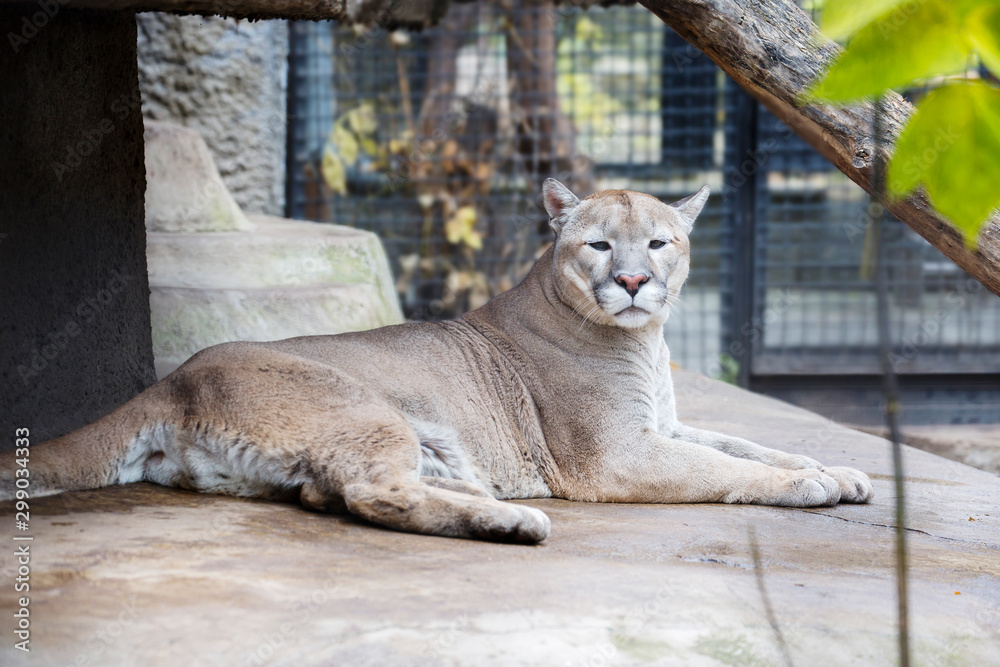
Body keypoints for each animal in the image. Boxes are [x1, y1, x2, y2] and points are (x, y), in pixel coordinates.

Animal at [1, 181, 868, 544]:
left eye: (659, 242)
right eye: (598, 244)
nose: (632, 282)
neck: (642, 342)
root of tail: (174, 378)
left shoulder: (665, 425)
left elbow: (749, 443)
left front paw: (838, 469)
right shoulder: (618, 452)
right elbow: (728, 467)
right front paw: (810, 485)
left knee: (328, 491)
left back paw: (480, 497)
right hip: (368, 410)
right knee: (371, 494)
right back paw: (513, 520)